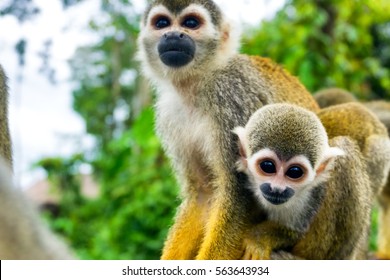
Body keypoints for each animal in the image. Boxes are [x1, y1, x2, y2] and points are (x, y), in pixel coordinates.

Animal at [139, 0, 318, 260]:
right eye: (162, 23)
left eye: (190, 23)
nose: (172, 35)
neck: (198, 85)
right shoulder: (170, 114)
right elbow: (203, 193)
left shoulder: (232, 98)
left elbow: (238, 194)